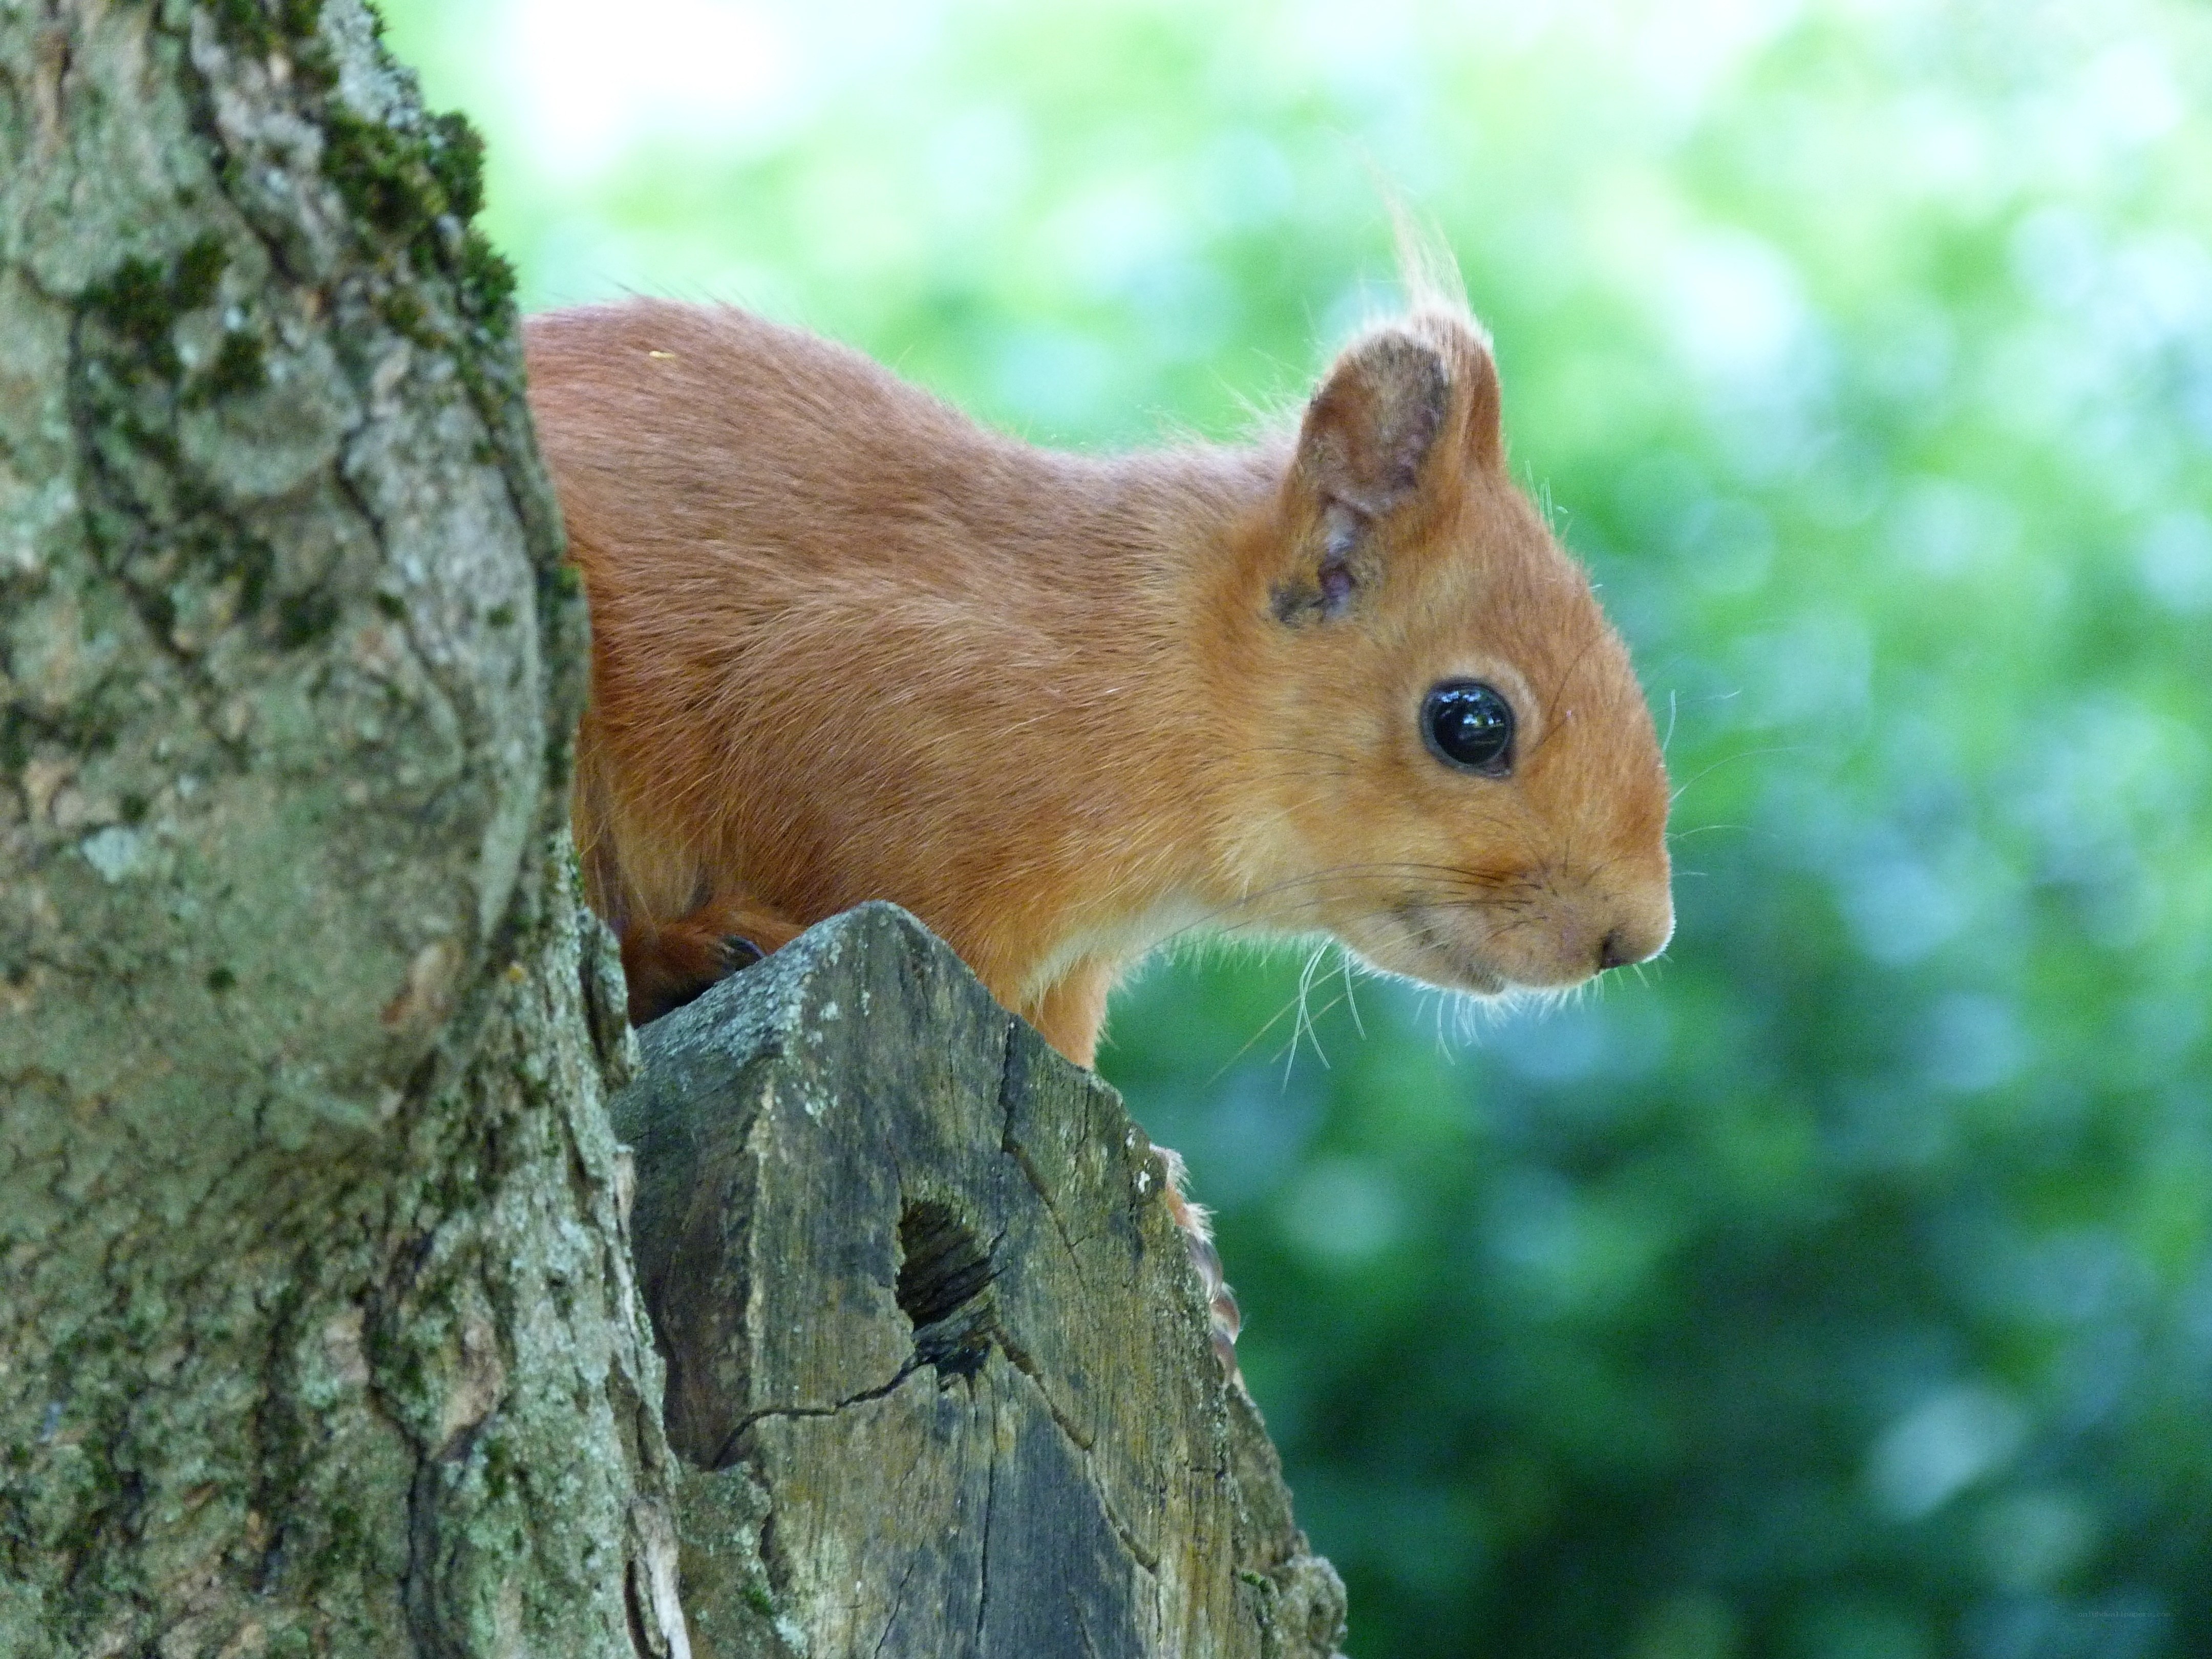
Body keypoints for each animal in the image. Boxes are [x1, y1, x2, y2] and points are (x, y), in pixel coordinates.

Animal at [523, 278, 1673, 1363]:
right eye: (1470, 723)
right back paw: (685, 950)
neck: (1145, 673)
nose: (1635, 937)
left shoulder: (1062, 983)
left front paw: (1173, 1214)